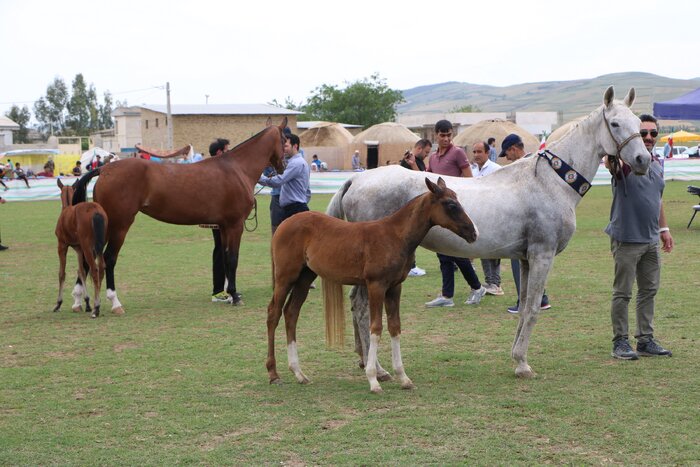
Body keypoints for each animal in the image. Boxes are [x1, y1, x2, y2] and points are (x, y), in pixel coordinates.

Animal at [53, 178, 108, 318]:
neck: (67, 210)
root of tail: (95, 210)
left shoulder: (62, 245)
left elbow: (62, 273)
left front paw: (58, 303)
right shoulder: (79, 248)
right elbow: (81, 271)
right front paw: (87, 302)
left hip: (88, 246)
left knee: (94, 269)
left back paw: (96, 308)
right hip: (97, 246)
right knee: (101, 267)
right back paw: (96, 304)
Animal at [72, 119, 288, 314]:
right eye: (285, 139)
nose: (283, 166)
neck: (237, 168)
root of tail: (104, 168)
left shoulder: (224, 226)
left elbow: (225, 259)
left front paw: (228, 294)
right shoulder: (235, 225)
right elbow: (233, 258)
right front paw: (234, 296)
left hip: (103, 226)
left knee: (87, 258)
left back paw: (78, 300)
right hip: (119, 225)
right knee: (108, 258)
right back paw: (115, 302)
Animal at [266, 177, 478, 394]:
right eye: (451, 204)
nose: (473, 232)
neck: (395, 236)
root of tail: (284, 224)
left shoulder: (394, 287)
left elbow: (395, 326)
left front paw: (403, 377)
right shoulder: (376, 286)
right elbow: (376, 327)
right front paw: (374, 379)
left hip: (304, 278)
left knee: (291, 313)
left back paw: (299, 373)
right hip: (285, 278)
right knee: (274, 314)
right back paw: (274, 374)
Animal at [326, 87, 648, 380]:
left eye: (637, 122)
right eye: (615, 124)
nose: (643, 160)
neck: (549, 182)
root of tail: (357, 180)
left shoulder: (527, 259)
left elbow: (524, 308)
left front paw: (517, 357)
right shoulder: (542, 255)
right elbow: (533, 309)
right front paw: (523, 364)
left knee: (356, 305)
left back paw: (364, 360)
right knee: (363, 308)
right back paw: (378, 370)